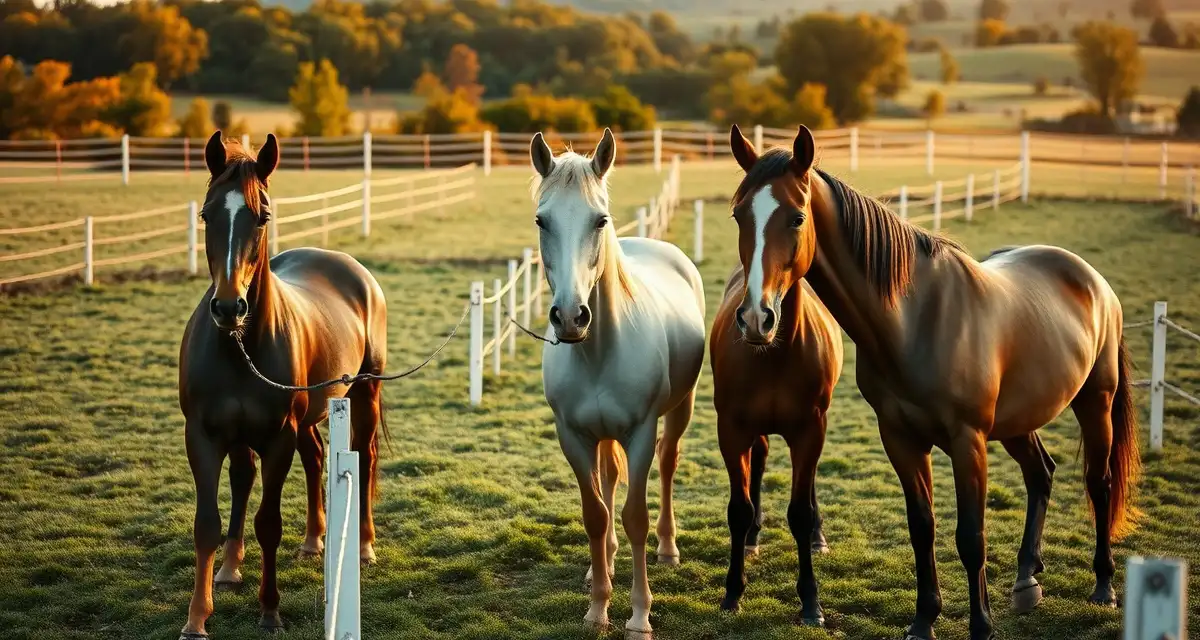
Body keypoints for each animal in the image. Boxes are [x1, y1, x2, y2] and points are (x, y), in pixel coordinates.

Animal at [177, 131, 389, 639]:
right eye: (206, 214)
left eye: (263, 216)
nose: (228, 306)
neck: (240, 346)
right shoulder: (204, 436)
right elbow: (207, 523)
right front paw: (198, 615)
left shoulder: (277, 438)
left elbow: (268, 523)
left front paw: (269, 610)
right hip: (306, 415)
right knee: (307, 461)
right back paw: (303, 543)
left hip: (363, 395)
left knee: (366, 457)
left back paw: (364, 545)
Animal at [529, 129, 707, 638]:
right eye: (542, 220)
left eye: (600, 219)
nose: (571, 317)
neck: (598, 351)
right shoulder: (572, 435)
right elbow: (596, 513)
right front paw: (597, 607)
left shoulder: (641, 433)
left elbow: (634, 517)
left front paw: (640, 615)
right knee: (607, 480)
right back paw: (600, 565)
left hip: (681, 408)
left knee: (668, 464)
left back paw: (667, 548)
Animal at [709, 159, 844, 624]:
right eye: (738, 216)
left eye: (797, 218)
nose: (755, 318)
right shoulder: (731, 429)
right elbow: (737, 508)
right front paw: (733, 591)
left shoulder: (810, 429)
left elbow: (799, 513)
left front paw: (811, 602)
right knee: (760, 462)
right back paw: (752, 538)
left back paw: (820, 537)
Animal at [727, 124, 1139, 640]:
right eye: (739, 214)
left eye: (797, 217)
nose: (755, 318)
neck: (916, 318)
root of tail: (1091, 279)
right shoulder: (901, 439)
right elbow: (922, 527)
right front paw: (924, 619)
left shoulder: (968, 441)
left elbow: (971, 536)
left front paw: (981, 625)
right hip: (1018, 421)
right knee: (1040, 473)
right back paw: (1026, 578)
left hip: (1095, 403)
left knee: (1099, 483)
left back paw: (1103, 586)